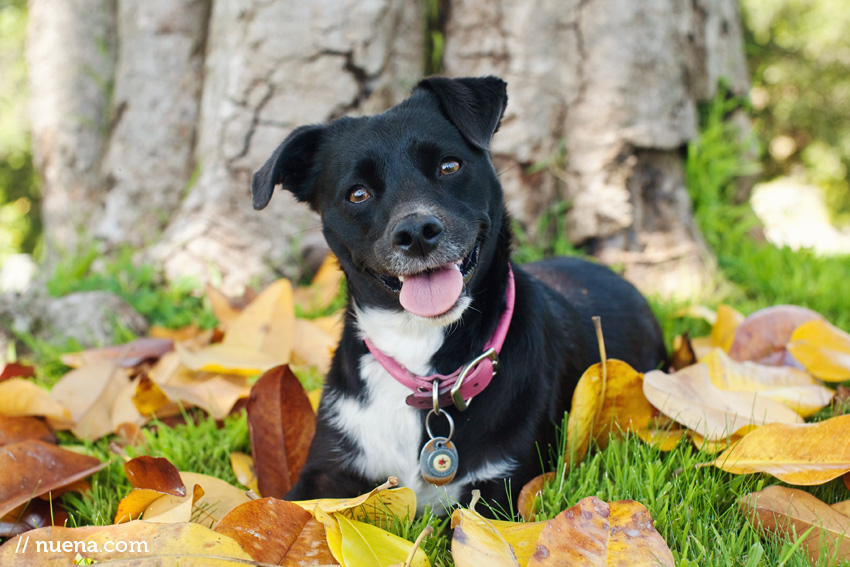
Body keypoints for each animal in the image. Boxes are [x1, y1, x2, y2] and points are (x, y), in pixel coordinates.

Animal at [252, 75, 668, 516]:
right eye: (357, 194)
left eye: (449, 166)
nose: (417, 233)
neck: (421, 359)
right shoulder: (324, 473)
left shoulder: (501, 492)